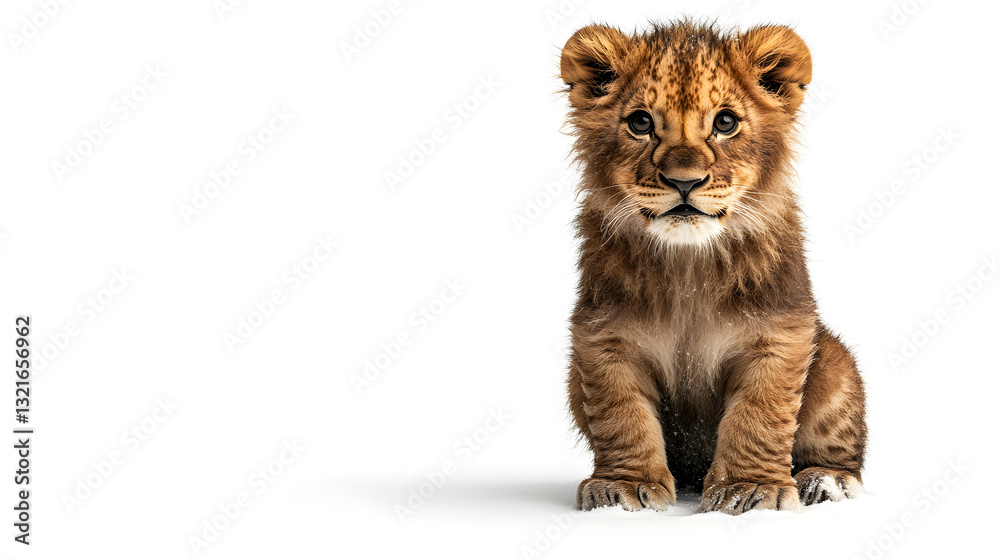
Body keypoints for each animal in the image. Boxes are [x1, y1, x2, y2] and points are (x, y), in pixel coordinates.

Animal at [560, 20, 867, 515]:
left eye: (725, 123)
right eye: (640, 123)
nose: (684, 181)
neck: (689, 263)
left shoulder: (779, 333)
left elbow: (759, 416)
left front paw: (750, 488)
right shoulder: (605, 337)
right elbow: (621, 416)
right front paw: (621, 486)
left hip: (835, 362)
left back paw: (827, 480)